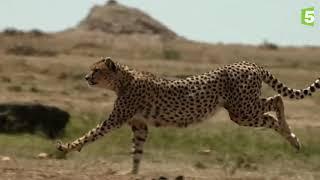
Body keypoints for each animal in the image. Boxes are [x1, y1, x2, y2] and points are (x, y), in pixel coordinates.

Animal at [56, 57, 318, 174]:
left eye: (96, 70)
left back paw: (292, 138)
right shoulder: (140, 126)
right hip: (243, 107)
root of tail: (249, 64)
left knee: (276, 105)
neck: (123, 79)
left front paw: (66, 147)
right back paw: (292, 138)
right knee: (276, 101)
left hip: (242, 111)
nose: (86, 77)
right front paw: (132, 173)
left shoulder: (116, 119)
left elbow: (92, 133)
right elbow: (136, 150)